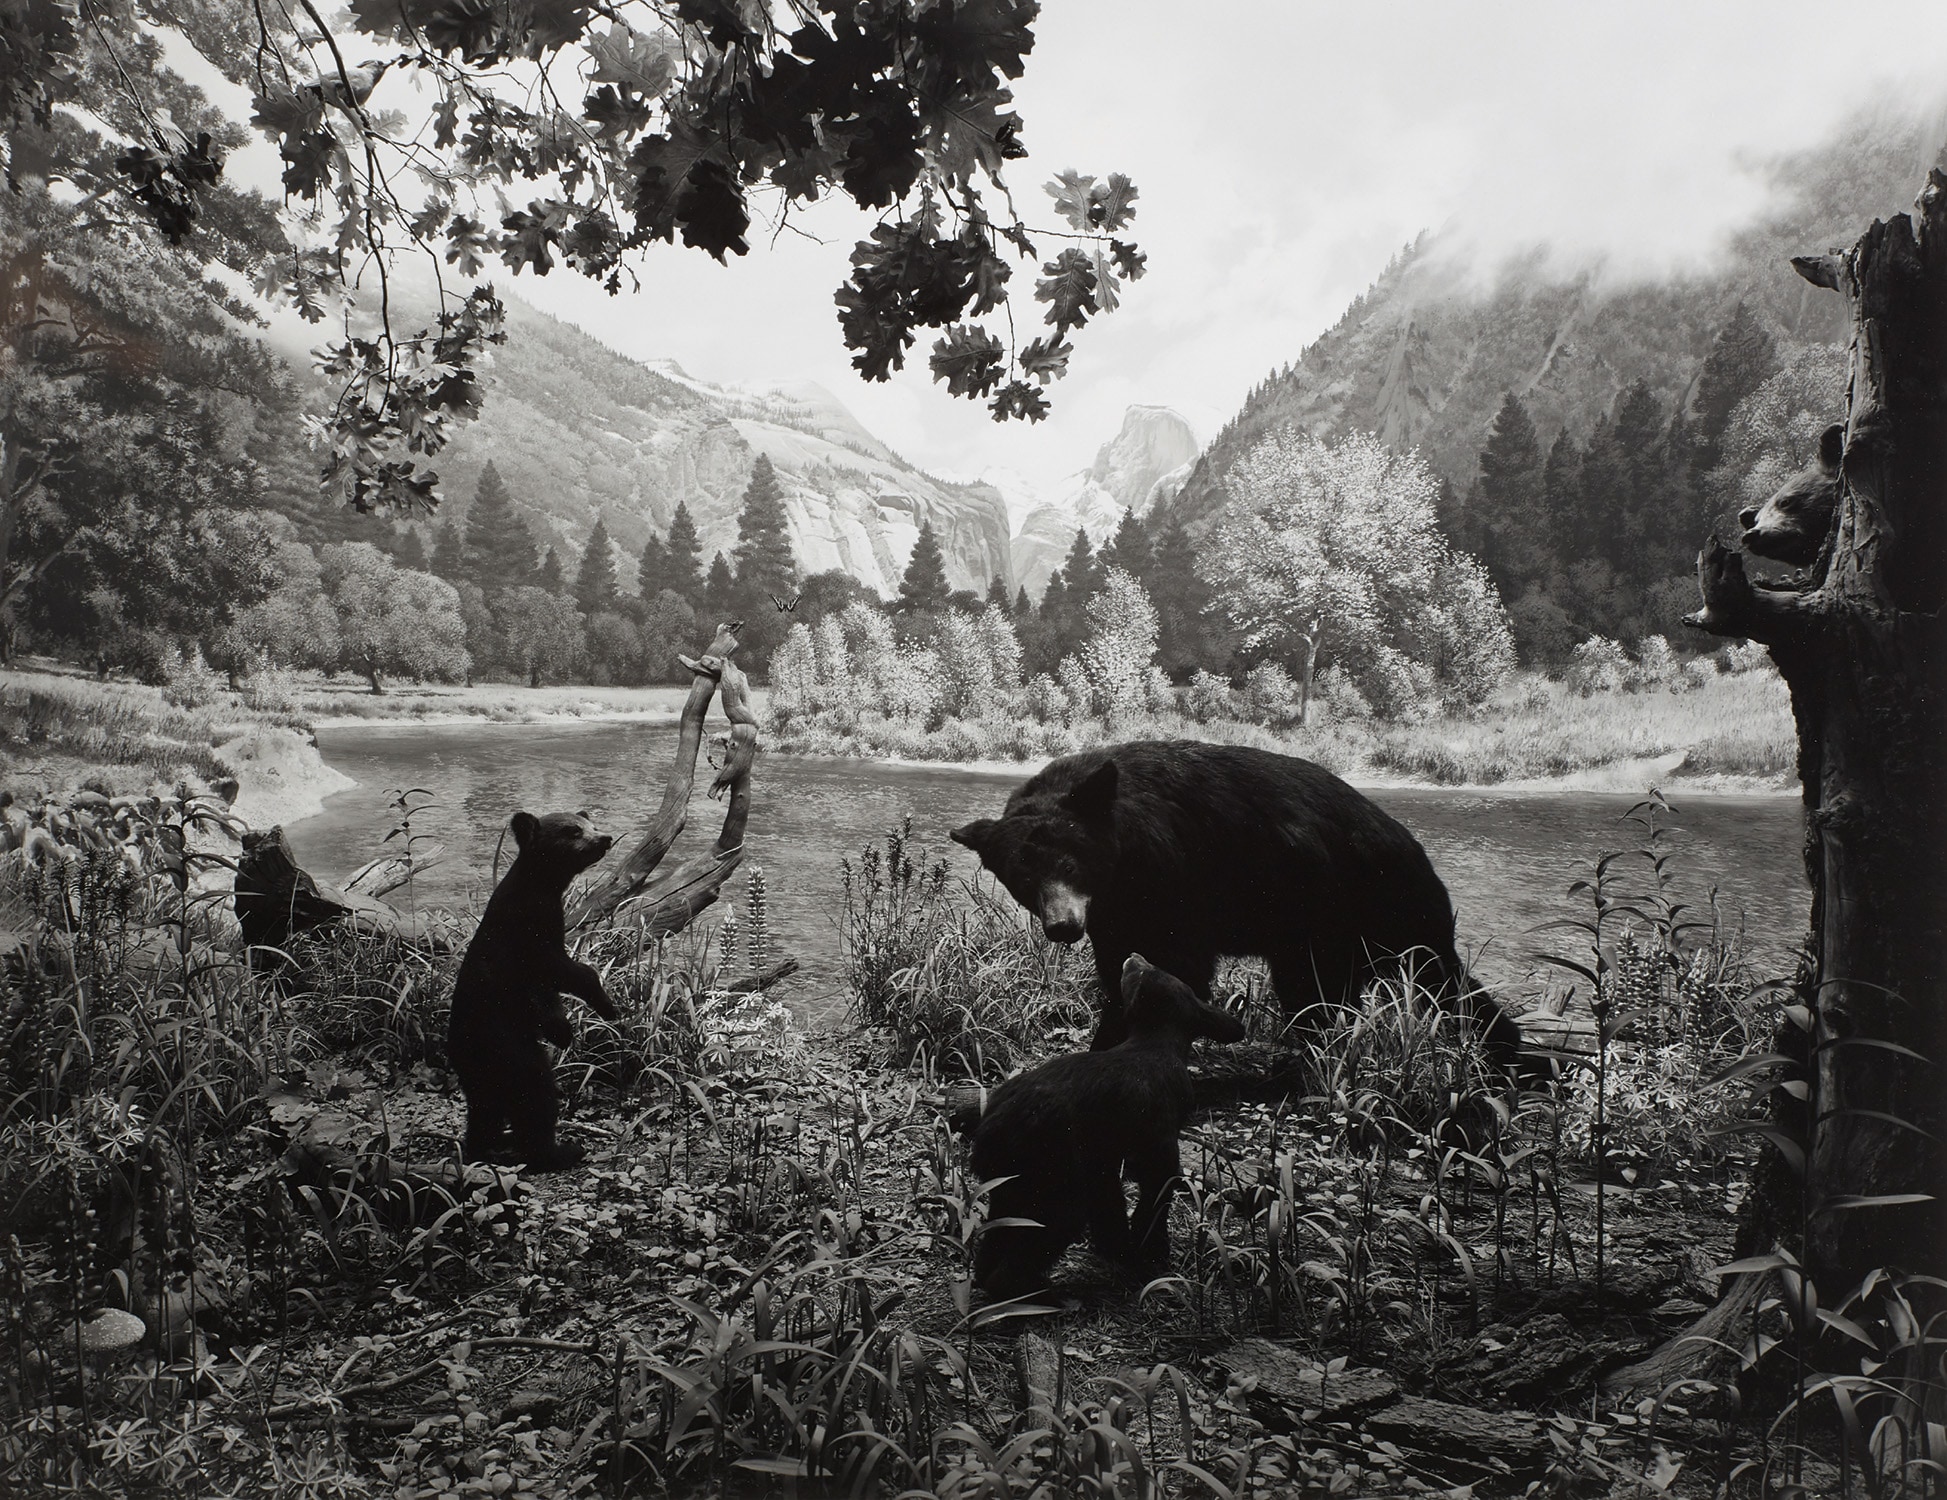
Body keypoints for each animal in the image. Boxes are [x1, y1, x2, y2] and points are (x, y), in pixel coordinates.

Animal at [447, 810, 618, 1172]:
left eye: (591, 823)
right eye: (572, 830)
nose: (605, 838)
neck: (542, 888)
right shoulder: (530, 934)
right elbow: (563, 972)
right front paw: (600, 1010)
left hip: (487, 1073)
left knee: (486, 1111)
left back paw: (486, 1146)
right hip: (510, 1048)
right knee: (536, 1095)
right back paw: (560, 1150)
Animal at [950, 740, 1522, 1066]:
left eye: (1070, 863)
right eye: (1023, 876)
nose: (1063, 926)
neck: (1125, 861)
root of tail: (1413, 846)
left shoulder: (1174, 874)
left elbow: (1177, 963)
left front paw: (1110, 1041)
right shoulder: (1113, 909)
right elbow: (1118, 961)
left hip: (1370, 903)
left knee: (1422, 973)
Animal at [970, 953, 1245, 1299]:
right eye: (1141, 971)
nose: (1134, 955)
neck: (1155, 1043)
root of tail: (991, 1128)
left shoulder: (1103, 1155)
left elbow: (1112, 1198)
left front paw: (1117, 1249)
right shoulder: (1160, 1146)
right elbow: (1156, 1198)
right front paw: (1150, 1255)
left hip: (1011, 1185)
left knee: (995, 1243)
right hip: (1056, 1187)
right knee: (1022, 1255)